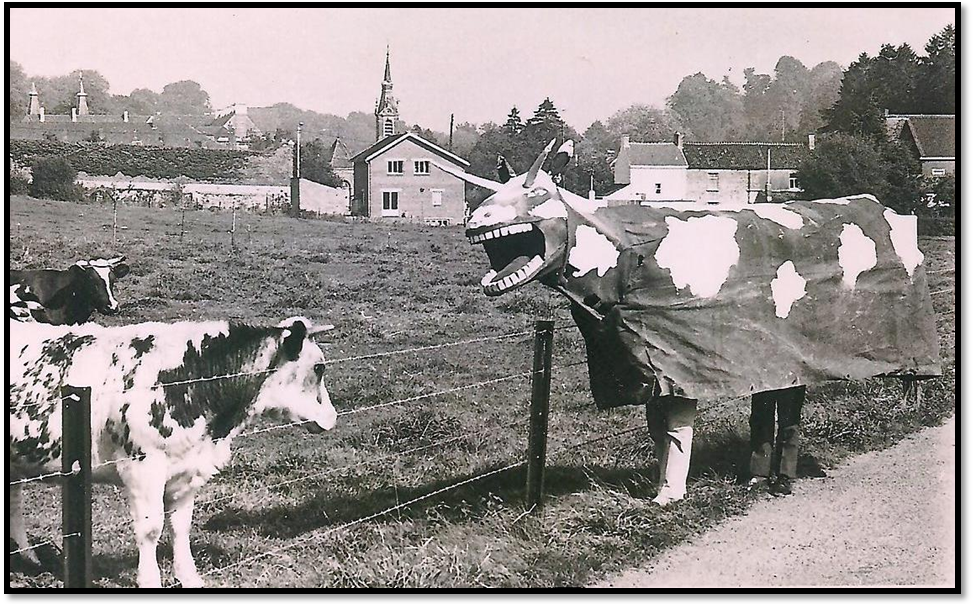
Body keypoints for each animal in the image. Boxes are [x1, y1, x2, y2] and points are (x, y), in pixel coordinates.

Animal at [10, 316, 338, 588]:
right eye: (318, 367)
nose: (332, 418)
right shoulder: (143, 467)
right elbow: (150, 529)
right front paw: (149, 580)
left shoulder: (186, 471)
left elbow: (180, 526)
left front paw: (189, 577)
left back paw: (30, 558)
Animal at [436, 140, 941, 506]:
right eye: (489, 194)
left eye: (537, 194)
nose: (476, 216)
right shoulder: (640, 362)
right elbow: (657, 427)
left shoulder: (680, 361)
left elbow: (678, 429)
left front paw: (669, 495)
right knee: (771, 397)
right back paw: (757, 477)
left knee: (791, 403)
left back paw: (782, 479)